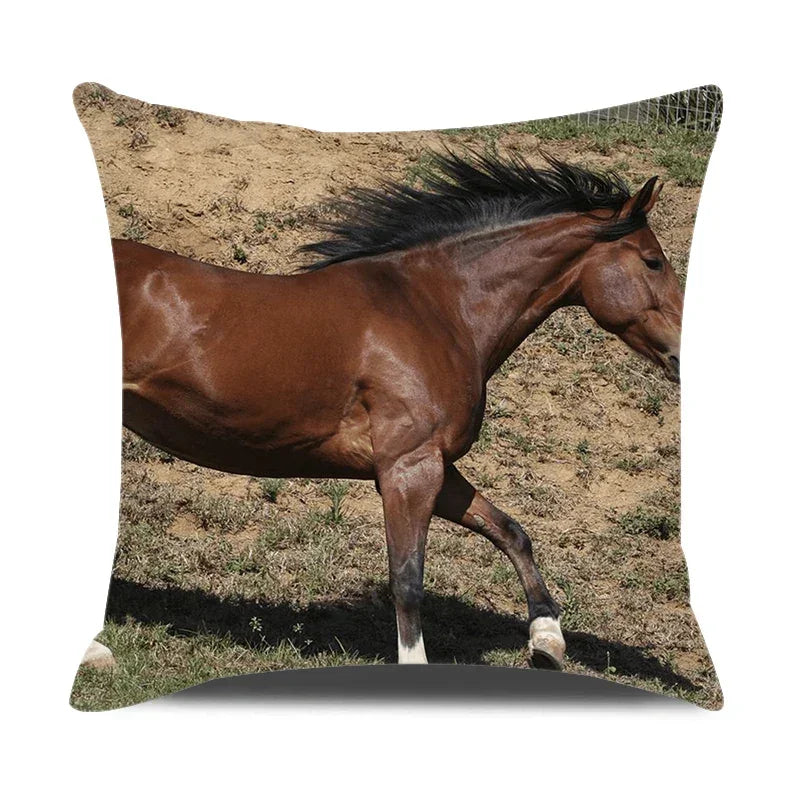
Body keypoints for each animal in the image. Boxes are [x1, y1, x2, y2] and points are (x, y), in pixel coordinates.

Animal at [107, 150, 682, 670]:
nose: (682, 354)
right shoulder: (408, 469)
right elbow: (407, 579)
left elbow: (510, 531)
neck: (436, 308)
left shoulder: (430, 466)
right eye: (653, 261)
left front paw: (547, 640)